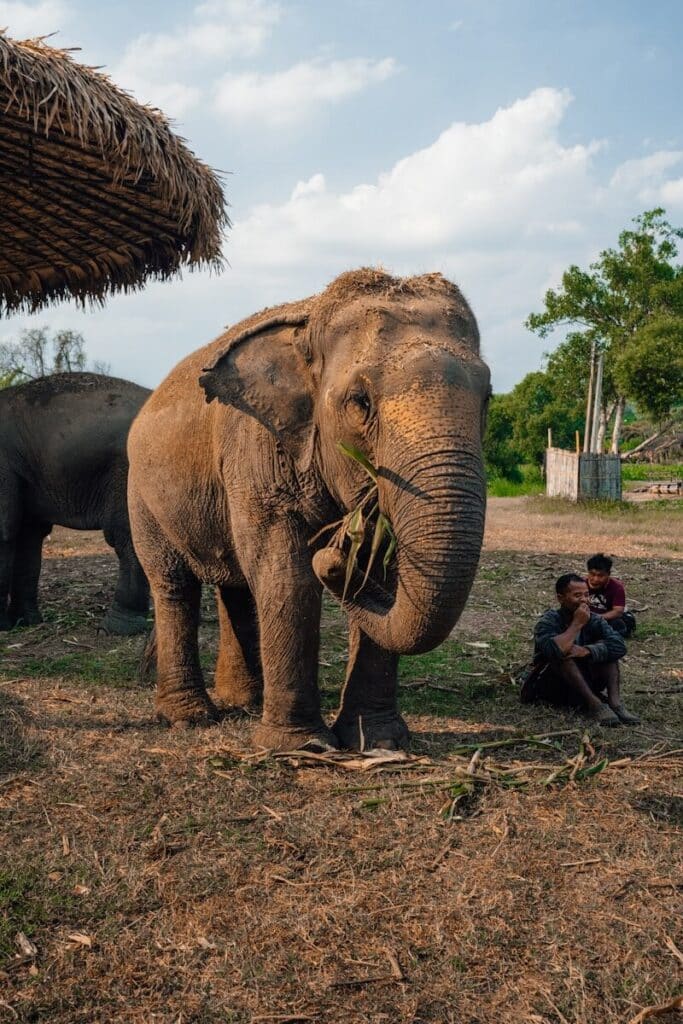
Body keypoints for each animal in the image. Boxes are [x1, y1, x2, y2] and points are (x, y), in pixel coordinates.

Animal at [127, 268, 490, 751]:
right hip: (141, 495)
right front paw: (301, 746)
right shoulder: (258, 447)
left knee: (234, 585)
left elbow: (381, 569)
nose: (332, 556)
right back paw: (190, 717)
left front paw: (378, 741)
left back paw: (244, 701)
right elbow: (287, 575)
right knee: (173, 585)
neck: (311, 322)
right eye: (360, 402)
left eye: (488, 397)